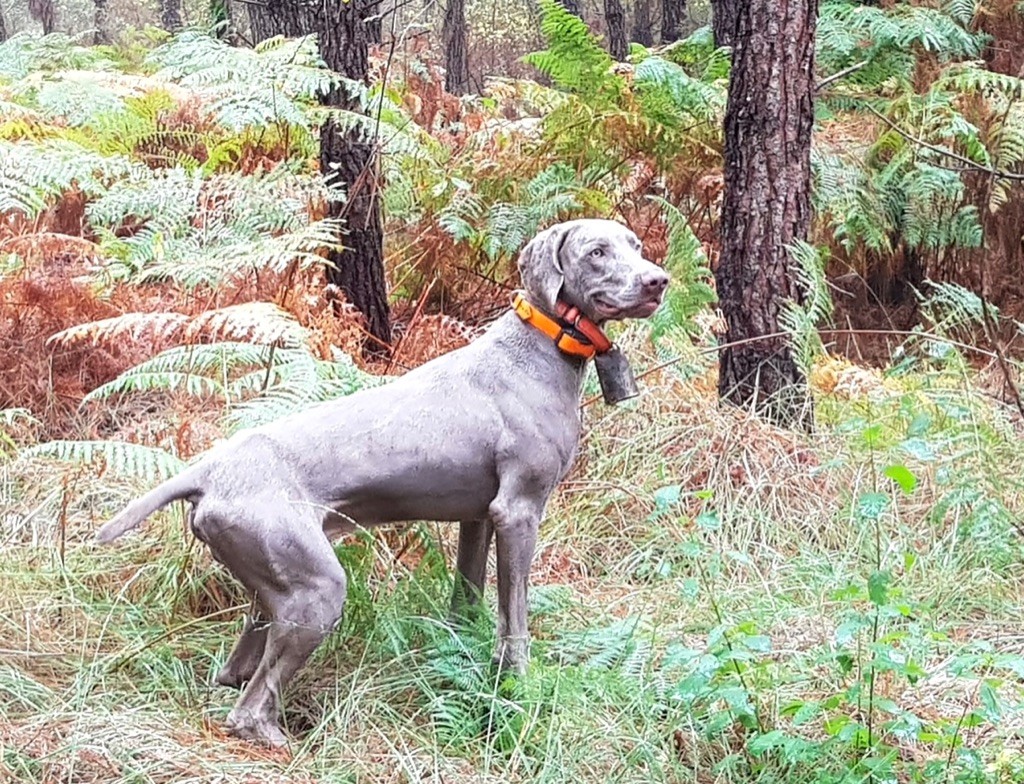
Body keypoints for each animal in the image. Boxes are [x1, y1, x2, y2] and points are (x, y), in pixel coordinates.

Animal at [96, 218, 667, 745]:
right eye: (596, 252)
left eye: (636, 246)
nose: (657, 280)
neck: (542, 346)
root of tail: (209, 469)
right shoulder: (519, 511)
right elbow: (515, 620)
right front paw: (517, 689)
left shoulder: (480, 516)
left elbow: (468, 600)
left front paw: (460, 655)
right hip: (318, 591)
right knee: (249, 709)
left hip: (275, 587)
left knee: (236, 673)